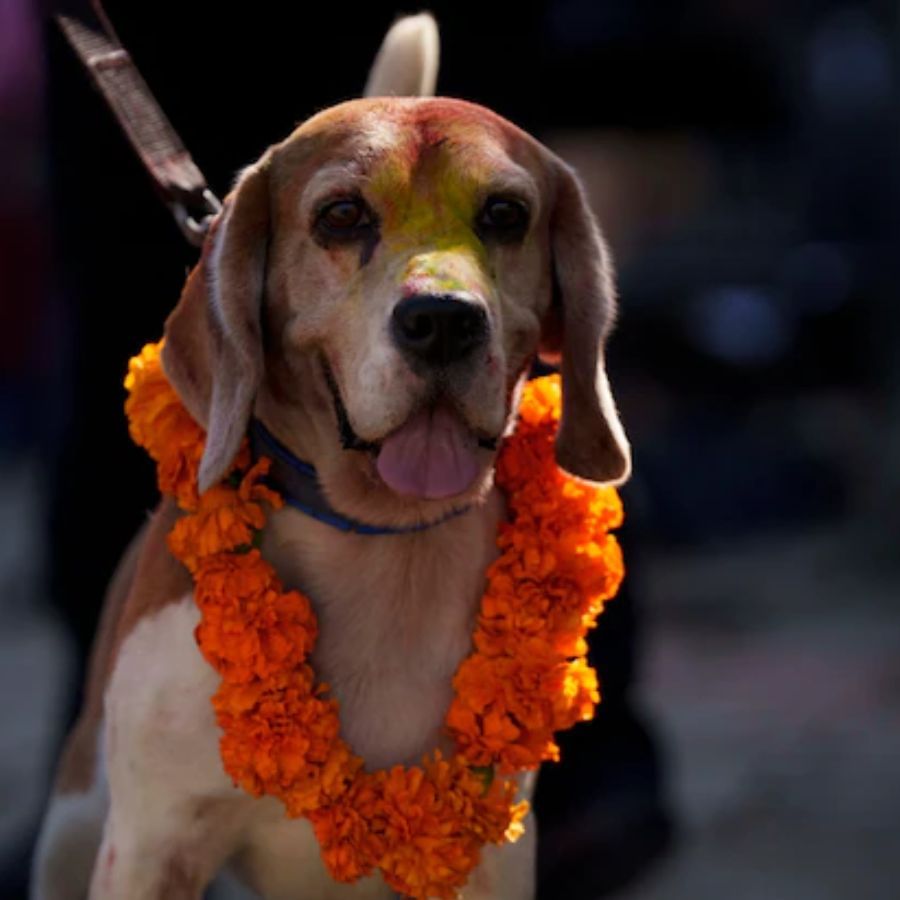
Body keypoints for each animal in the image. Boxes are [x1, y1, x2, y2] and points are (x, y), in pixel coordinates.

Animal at [31, 14, 628, 900]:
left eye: (505, 214)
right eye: (342, 215)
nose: (443, 320)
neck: (381, 547)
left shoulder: (493, 860)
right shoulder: (150, 847)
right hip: (72, 831)